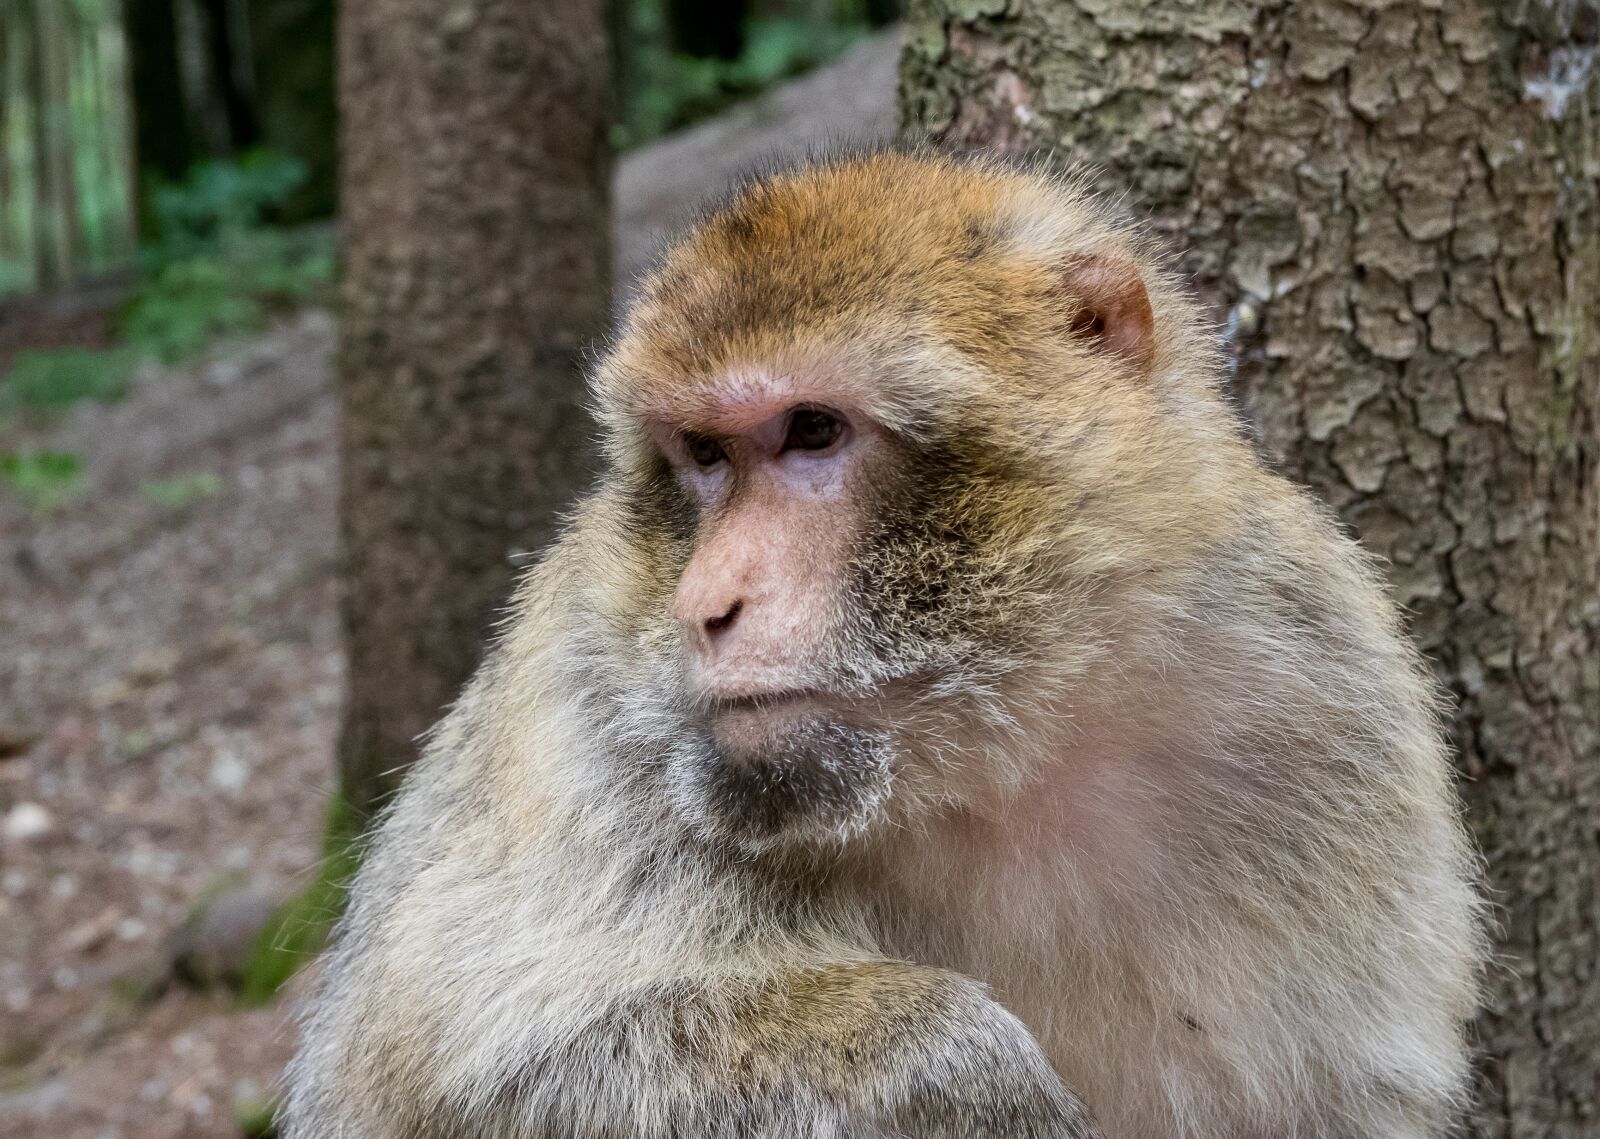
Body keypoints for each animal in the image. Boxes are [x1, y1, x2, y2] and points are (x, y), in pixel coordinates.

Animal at [283, 150, 1484, 1139]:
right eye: (704, 456)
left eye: (813, 431)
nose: (704, 603)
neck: (999, 758)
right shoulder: (591, 724)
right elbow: (452, 1064)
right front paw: (969, 1072)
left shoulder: (1321, 698)